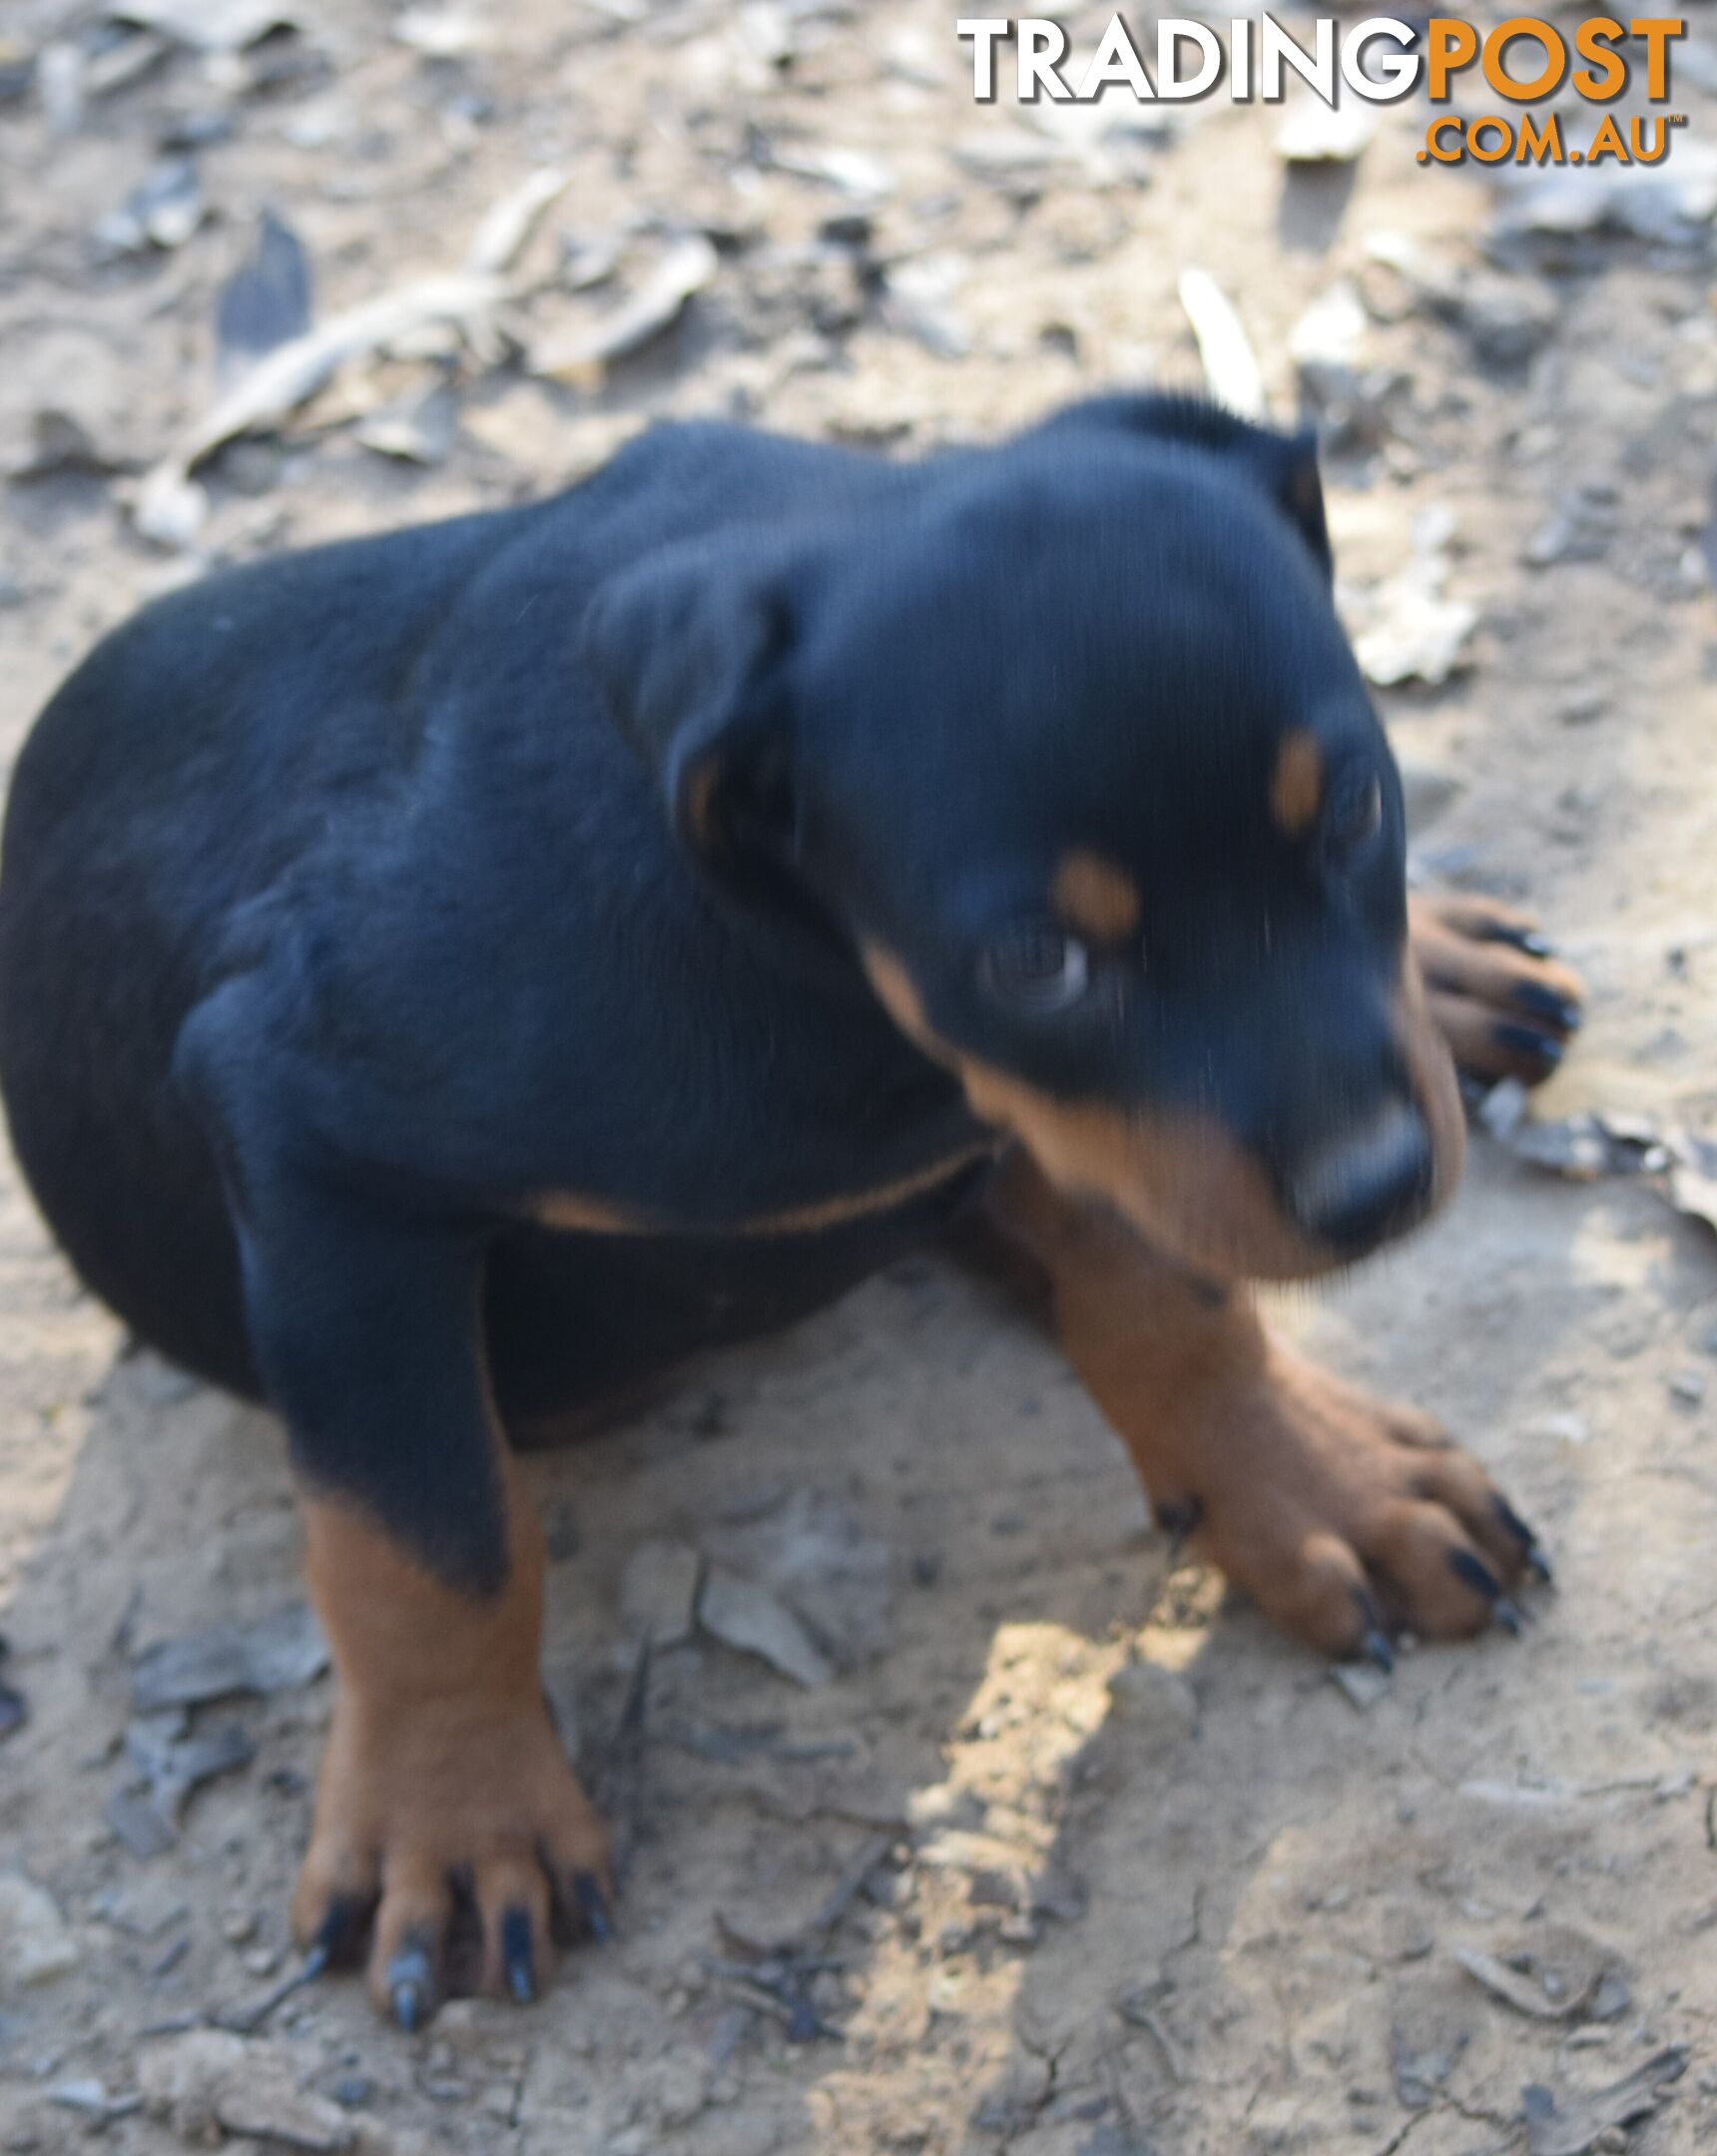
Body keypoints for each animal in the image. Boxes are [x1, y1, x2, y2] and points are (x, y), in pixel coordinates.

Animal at [0, 396, 1578, 2026]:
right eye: (1034, 961)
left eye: (1355, 806)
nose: (1376, 1187)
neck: (794, 941)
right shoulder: (312, 1136)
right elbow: (427, 1536)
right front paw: (454, 1814)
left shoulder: (1095, 1127)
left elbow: (1174, 1299)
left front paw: (1309, 1480)